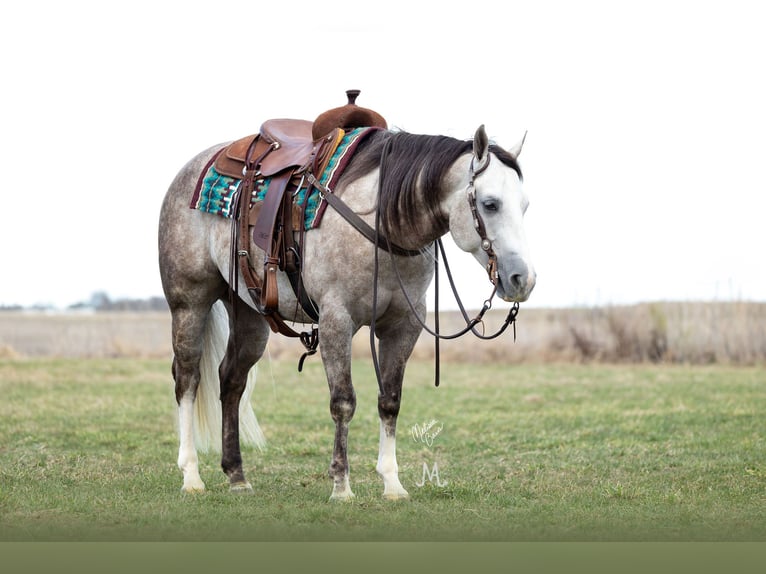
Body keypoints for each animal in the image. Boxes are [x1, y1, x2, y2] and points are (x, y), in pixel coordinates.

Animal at [159, 124, 536, 502]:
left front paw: (392, 484)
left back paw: (237, 475)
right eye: (490, 204)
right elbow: (343, 401)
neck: (384, 225)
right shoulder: (336, 320)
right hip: (190, 303)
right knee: (188, 379)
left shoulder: (403, 325)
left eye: (525, 205)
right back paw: (191, 475)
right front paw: (341, 486)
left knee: (231, 381)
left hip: (250, 315)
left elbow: (390, 401)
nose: (523, 279)